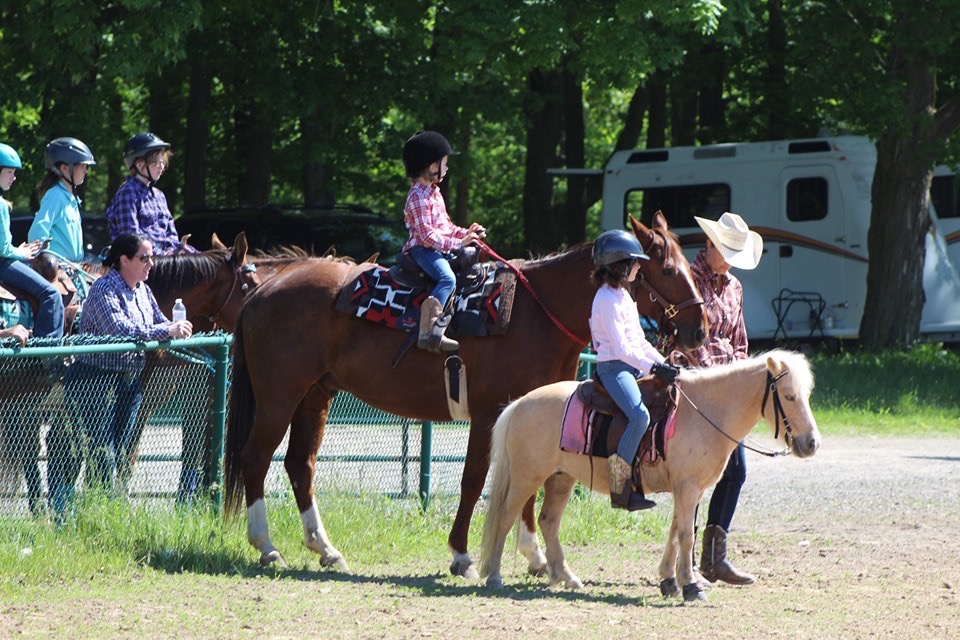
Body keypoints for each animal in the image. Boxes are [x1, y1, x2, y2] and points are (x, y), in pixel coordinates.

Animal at [223, 212, 704, 572]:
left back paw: (326, 549)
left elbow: (526, 484)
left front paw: (533, 556)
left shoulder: (533, 417)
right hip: (279, 397)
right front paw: (461, 554)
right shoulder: (491, 413)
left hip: (314, 396)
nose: (699, 330)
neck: (535, 315)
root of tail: (265, 290)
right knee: (256, 457)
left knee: (299, 465)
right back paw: (267, 546)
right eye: (667, 269)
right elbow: (474, 479)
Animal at [476, 350, 820, 600]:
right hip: (526, 477)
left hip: (561, 478)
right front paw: (691, 586)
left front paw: (669, 580)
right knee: (505, 517)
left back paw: (566, 577)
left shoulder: (688, 489)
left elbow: (676, 532)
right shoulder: (687, 488)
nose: (811, 443)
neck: (703, 413)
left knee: (549, 522)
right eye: (789, 396)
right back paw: (494, 575)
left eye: (807, 395)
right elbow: (685, 535)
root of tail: (518, 404)